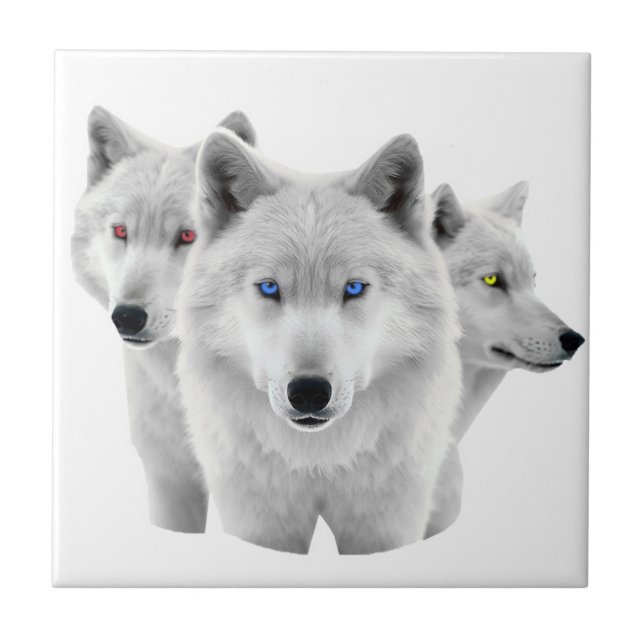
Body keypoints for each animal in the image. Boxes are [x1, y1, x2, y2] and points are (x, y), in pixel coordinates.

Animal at [176, 129, 462, 554]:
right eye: (269, 287)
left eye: (354, 288)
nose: (309, 392)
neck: (318, 459)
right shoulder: (258, 520)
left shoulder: (386, 523)